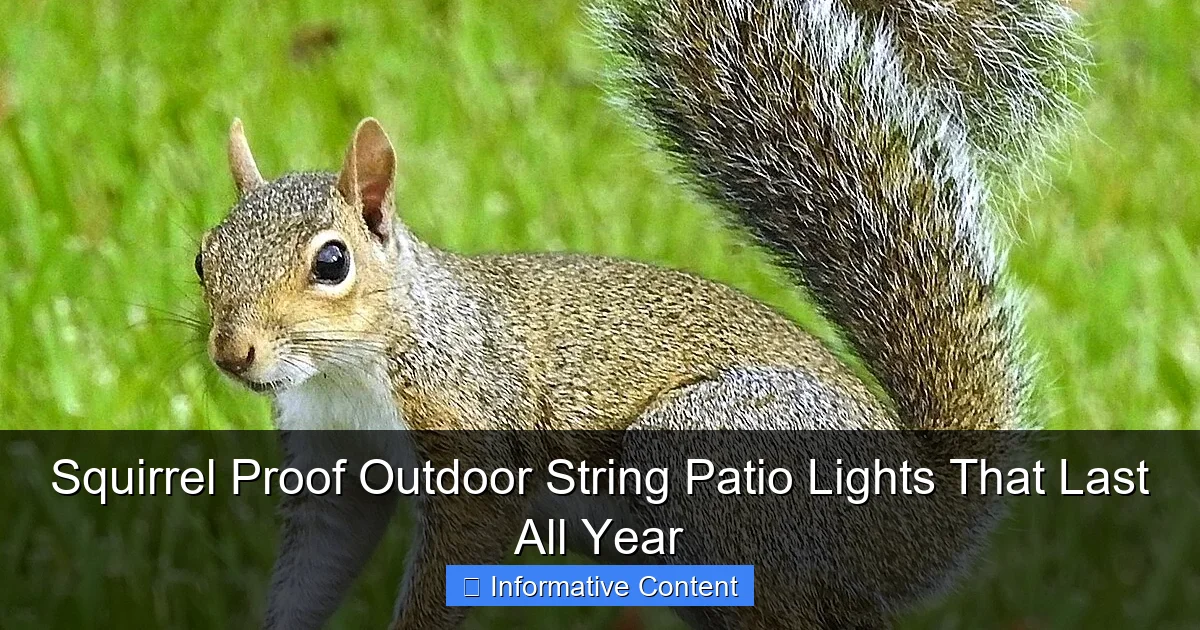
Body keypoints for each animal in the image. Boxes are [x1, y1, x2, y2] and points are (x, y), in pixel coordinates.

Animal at [195, 0, 1083, 628]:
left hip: (716, 459)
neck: (349, 371)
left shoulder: (469, 428)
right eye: (204, 257)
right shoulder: (334, 473)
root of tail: (923, 515)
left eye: (332, 262)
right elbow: (321, 559)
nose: (233, 354)